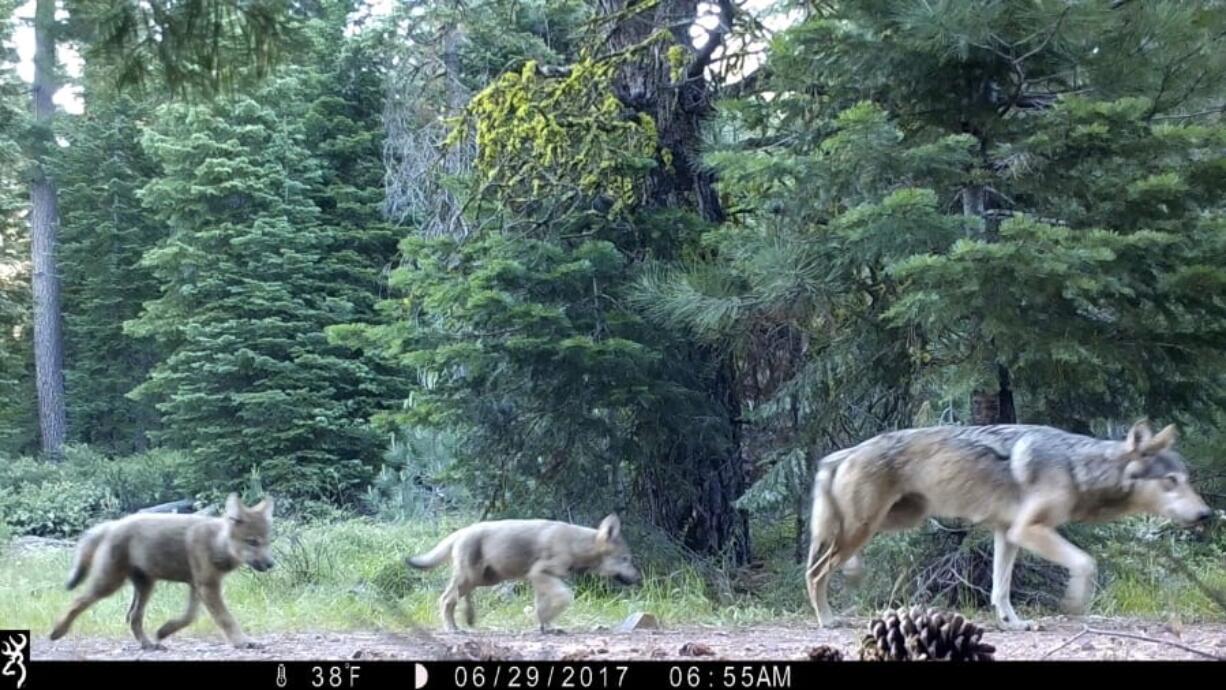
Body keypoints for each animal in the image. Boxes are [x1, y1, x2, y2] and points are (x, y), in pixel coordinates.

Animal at [49, 495, 275, 652]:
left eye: (267, 542)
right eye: (253, 542)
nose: (272, 564)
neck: (216, 542)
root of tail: (112, 524)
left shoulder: (197, 586)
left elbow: (189, 617)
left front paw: (164, 630)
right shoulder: (207, 586)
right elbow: (226, 619)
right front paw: (244, 642)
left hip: (146, 586)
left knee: (133, 617)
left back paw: (149, 644)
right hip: (109, 584)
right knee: (77, 601)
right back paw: (57, 631)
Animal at [409, 512, 642, 632]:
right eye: (626, 559)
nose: (639, 579)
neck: (576, 545)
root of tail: (461, 531)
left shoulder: (542, 579)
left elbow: (542, 606)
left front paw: (546, 626)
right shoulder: (540, 573)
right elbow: (565, 597)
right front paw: (545, 622)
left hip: (483, 579)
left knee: (459, 597)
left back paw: (469, 619)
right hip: (471, 578)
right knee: (446, 599)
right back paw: (453, 628)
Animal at [804, 421, 1216, 632]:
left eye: (1186, 479)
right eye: (1170, 481)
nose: (1206, 514)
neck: (1077, 467)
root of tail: (843, 453)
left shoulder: (1007, 533)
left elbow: (1000, 590)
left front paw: (1012, 624)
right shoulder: (1028, 530)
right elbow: (1086, 562)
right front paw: (1074, 604)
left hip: (896, 520)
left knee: (835, 559)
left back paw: (851, 575)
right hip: (867, 526)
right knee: (815, 571)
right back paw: (827, 619)